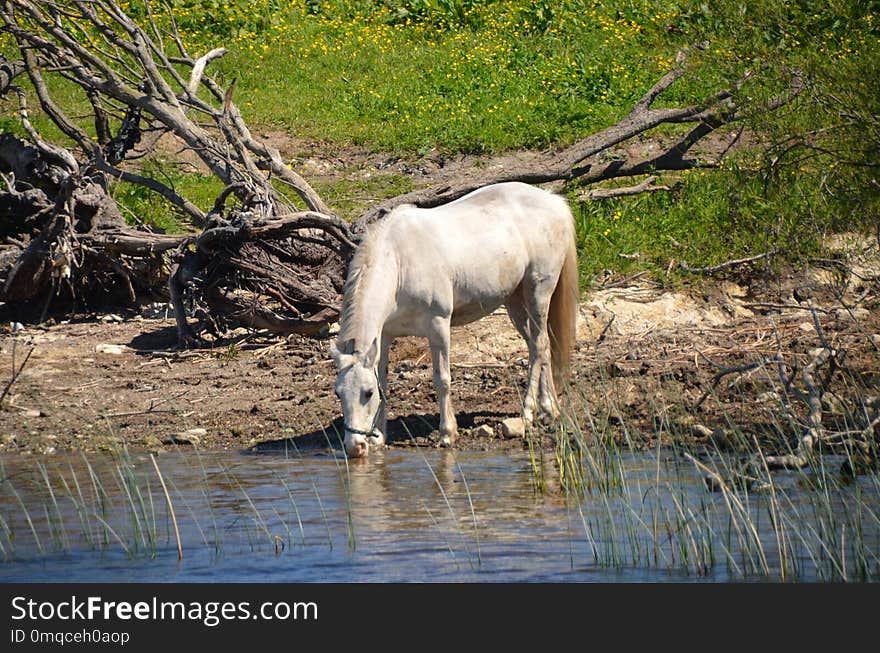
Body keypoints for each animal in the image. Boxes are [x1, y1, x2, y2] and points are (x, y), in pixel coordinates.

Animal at [330, 181, 576, 456]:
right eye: (339, 394)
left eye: (367, 393)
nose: (355, 447)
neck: (399, 262)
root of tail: (553, 201)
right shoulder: (384, 335)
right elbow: (383, 377)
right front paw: (379, 436)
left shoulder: (438, 325)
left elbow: (442, 379)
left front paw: (447, 433)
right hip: (515, 302)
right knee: (539, 348)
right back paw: (548, 408)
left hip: (538, 293)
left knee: (541, 346)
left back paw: (528, 412)